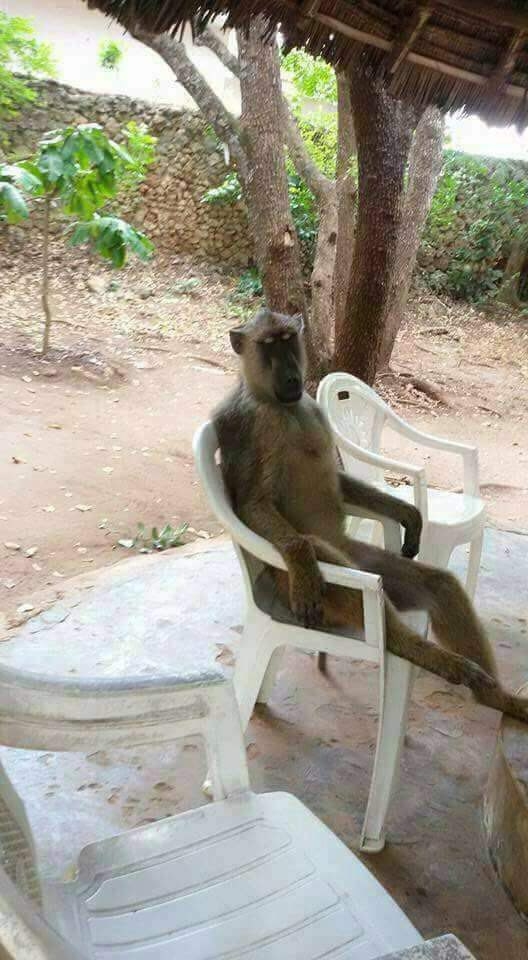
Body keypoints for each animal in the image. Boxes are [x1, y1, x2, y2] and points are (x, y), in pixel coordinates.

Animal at [213, 307, 528, 724]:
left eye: (288, 340)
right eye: (268, 346)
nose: (292, 376)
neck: (283, 406)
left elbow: (341, 481)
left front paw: (409, 514)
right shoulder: (250, 423)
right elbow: (253, 504)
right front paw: (298, 553)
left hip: (369, 564)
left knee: (439, 585)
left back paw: (496, 698)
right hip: (301, 588)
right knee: (321, 553)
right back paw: (431, 657)